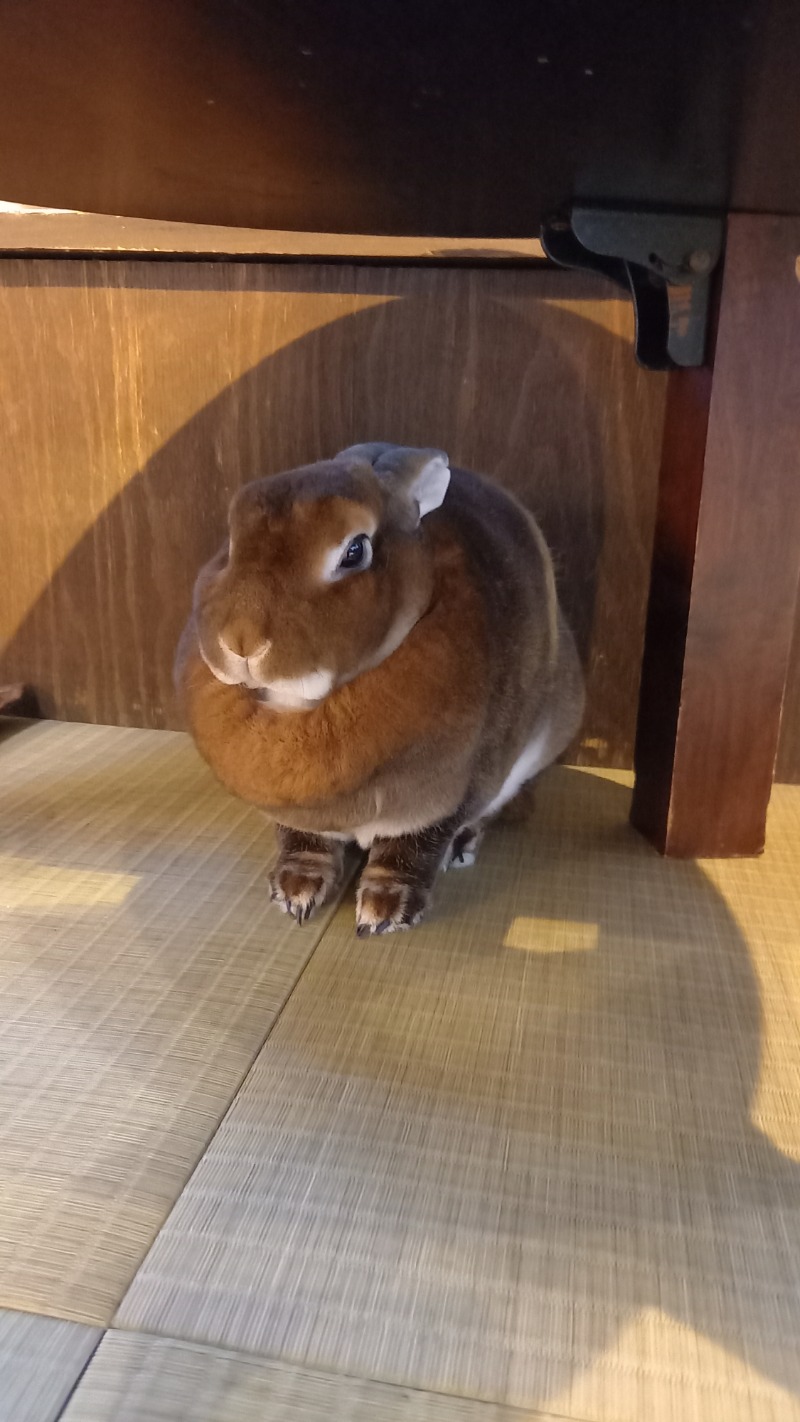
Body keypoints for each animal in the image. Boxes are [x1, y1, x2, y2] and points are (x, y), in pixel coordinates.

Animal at [176, 440, 582, 932]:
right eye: (232, 545)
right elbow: (305, 840)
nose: (241, 641)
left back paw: (463, 847)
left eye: (355, 551)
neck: (298, 702)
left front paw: (383, 911)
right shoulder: (298, 812)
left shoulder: (449, 795)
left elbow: (412, 850)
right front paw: (295, 891)